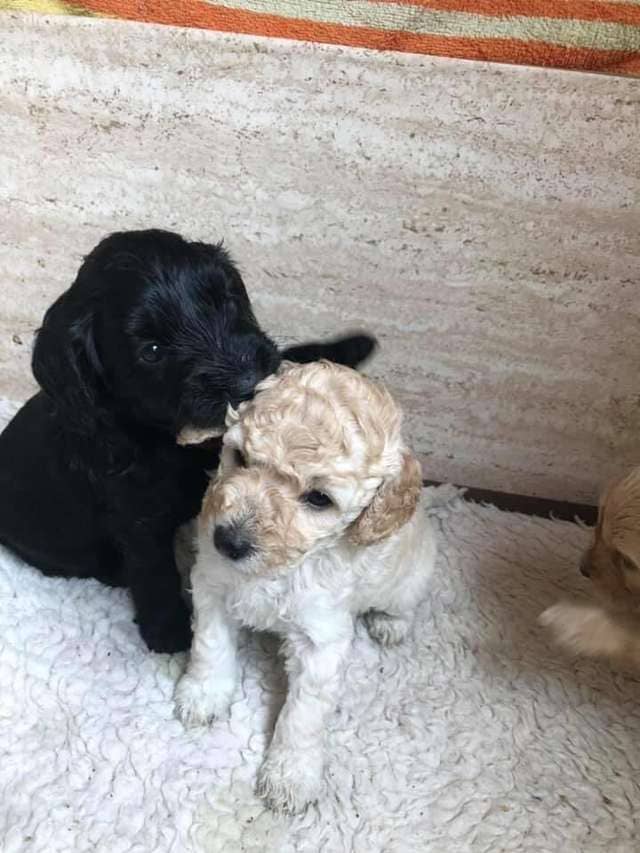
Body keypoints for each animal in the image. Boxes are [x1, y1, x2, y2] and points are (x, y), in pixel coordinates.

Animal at [0, 230, 376, 648]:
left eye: (226, 301)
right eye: (151, 351)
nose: (248, 383)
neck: (164, 436)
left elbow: (291, 357)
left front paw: (349, 346)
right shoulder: (137, 519)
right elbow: (154, 571)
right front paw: (170, 633)